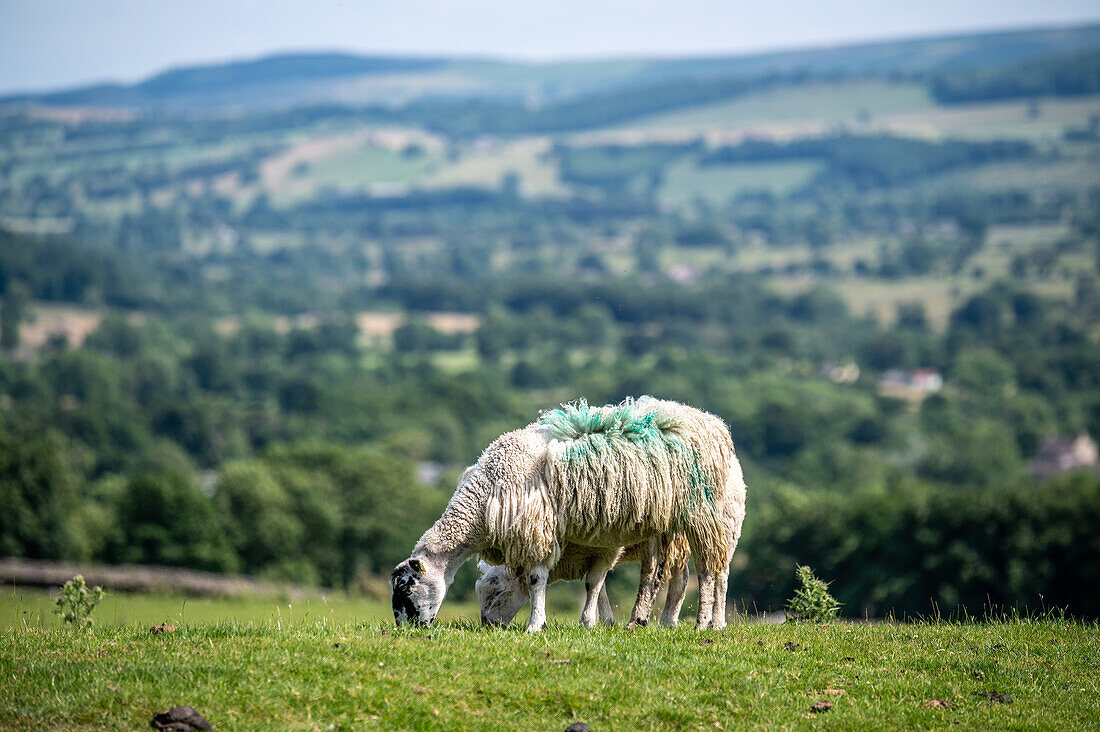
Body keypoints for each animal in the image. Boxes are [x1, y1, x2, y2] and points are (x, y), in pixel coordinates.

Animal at [477, 530, 690, 629]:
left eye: (498, 592)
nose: (486, 624)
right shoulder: (594, 555)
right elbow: (600, 586)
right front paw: (606, 621)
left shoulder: (607, 550)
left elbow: (593, 584)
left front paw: (590, 621)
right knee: (681, 573)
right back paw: (668, 621)